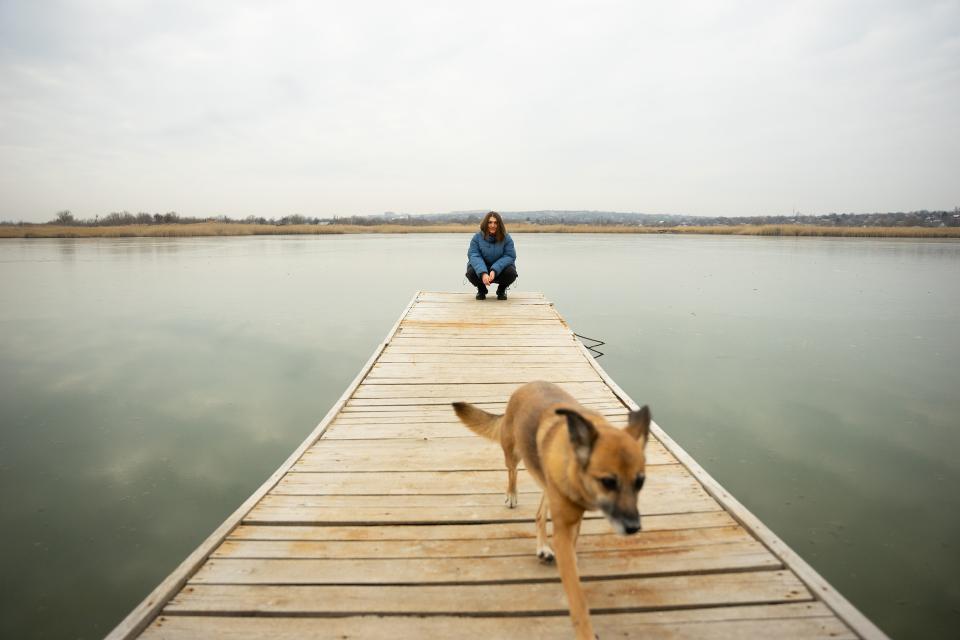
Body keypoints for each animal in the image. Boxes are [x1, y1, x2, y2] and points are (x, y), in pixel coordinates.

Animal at [452, 382, 652, 636]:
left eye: (640, 482)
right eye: (608, 482)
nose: (633, 527)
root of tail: (528, 384)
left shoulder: (572, 520)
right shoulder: (564, 528)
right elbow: (577, 598)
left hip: (547, 484)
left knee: (539, 513)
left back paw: (543, 547)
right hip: (513, 454)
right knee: (512, 473)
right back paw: (512, 496)